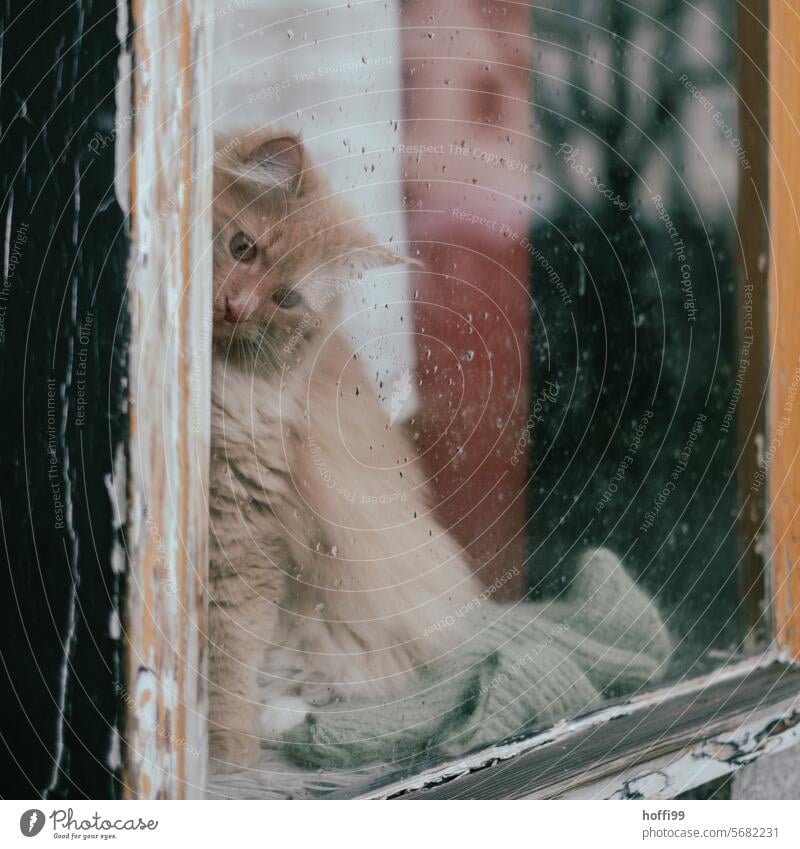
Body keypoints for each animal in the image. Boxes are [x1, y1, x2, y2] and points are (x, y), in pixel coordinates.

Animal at [206, 131, 484, 768]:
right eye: (242, 247)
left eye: (285, 298)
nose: (236, 308)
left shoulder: (244, 529)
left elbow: (230, 660)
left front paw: (229, 751)